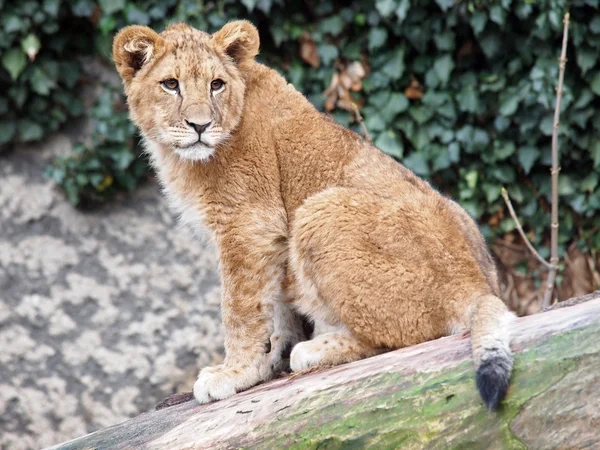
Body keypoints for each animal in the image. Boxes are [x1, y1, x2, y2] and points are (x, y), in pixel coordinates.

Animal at [113, 20, 516, 408]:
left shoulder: (249, 224)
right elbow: (273, 308)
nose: (200, 126)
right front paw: (267, 361)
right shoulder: (268, 240)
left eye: (216, 85)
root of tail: (478, 287)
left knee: (404, 338)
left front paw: (233, 374)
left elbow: (240, 309)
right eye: (170, 84)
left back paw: (315, 350)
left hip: (320, 210)